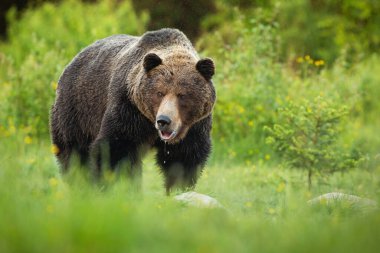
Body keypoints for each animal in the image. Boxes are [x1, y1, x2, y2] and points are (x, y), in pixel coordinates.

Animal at [50, 28, 215, 194]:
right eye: (159, 93)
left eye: (182, 95)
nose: (163, 121)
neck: (150, 123)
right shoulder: (129, 109)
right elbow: (116, 148)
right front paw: (119, 187)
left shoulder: (195, 126)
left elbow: (184, 158)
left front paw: (178, 189)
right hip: (77, 110)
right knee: (74, 154)